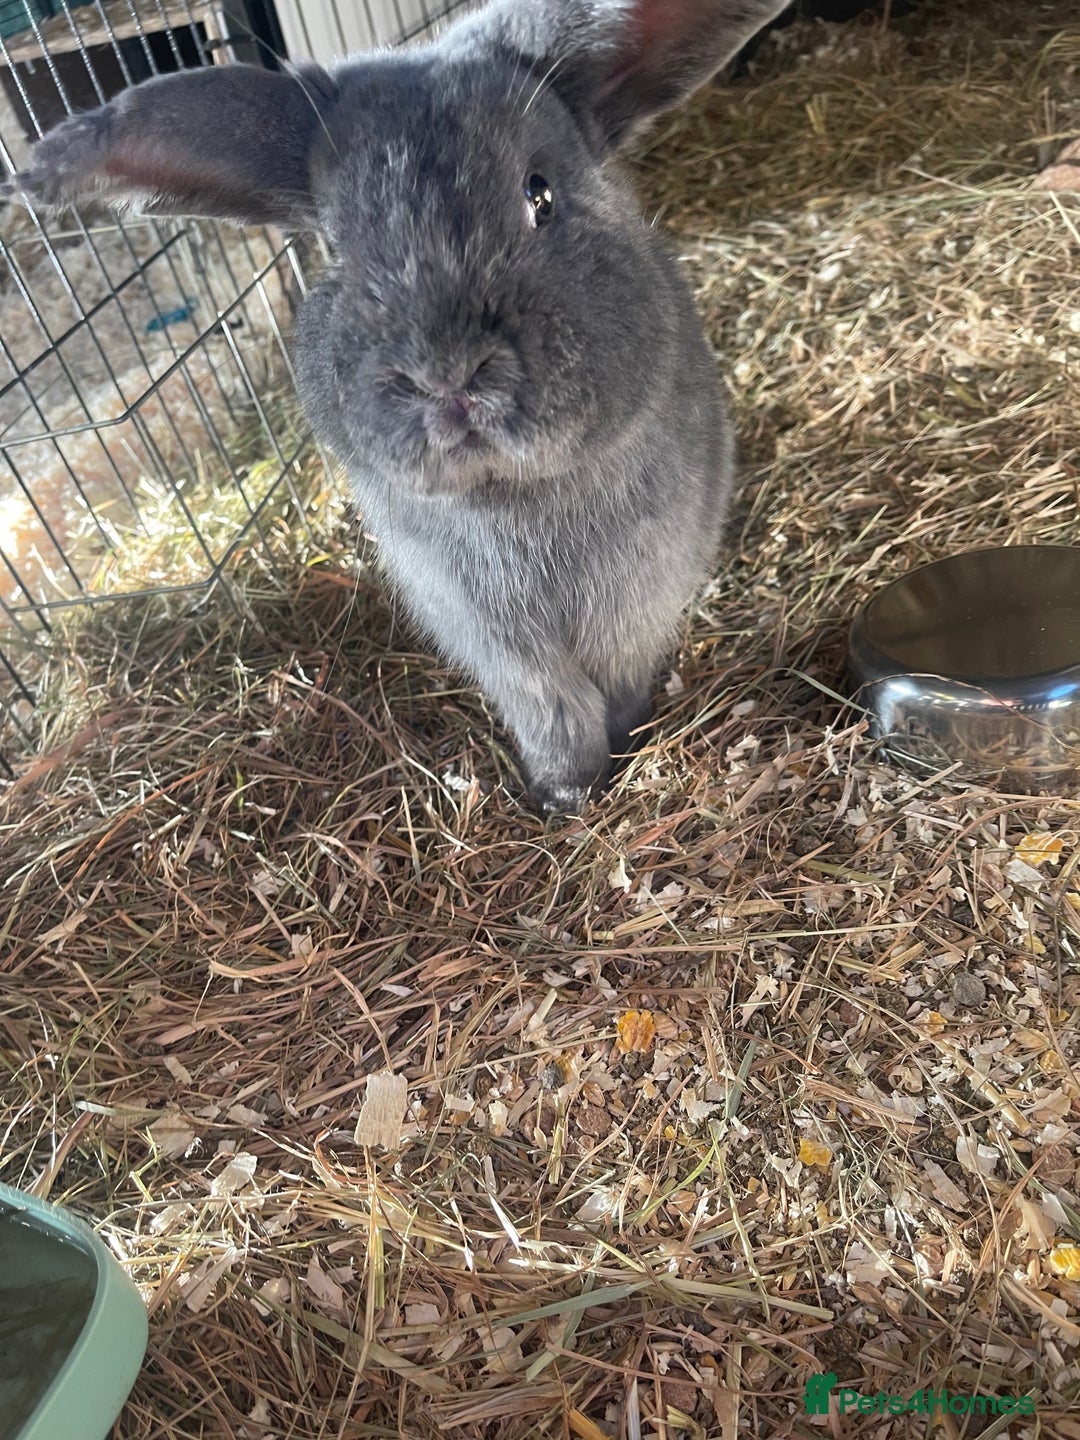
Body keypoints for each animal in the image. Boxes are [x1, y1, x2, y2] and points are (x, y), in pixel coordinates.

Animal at [3, 0, 789, 815]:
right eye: (333, 249)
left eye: (540, 195)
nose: (446, 375)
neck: (508, 496)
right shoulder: (492, 638)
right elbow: (555, 711)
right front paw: (563, 793)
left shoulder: (637, 599)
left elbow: (619, 682)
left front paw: (615, 759)